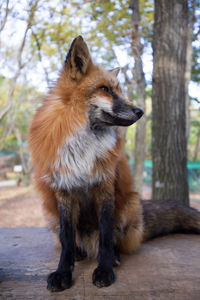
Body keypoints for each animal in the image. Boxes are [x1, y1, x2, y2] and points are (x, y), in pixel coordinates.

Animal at [28, 35, 200, 290]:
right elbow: (67, 240)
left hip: (130, 204)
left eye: (118, 89)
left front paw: (105, 268)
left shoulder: (105, 186)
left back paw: (114, 257)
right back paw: (80, 253)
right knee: (72, 241)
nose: (140, 111)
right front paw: (63, 272)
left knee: (113, 240)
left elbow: (107, 236)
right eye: (105, 89)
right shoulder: (64, 189)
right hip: (50, 214)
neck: (84, 143)